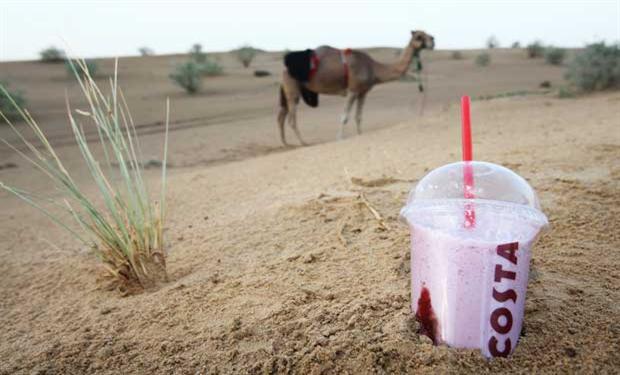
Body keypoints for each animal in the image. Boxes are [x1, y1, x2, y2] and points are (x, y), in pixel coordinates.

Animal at [278, 30, 434, 145]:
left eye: (426, 33)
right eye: (419, 36)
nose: (433, 40)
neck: (373, 68)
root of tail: (284, 68)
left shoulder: (363, 92)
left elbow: (358, 116)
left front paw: (360, 134)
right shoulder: (353, 90)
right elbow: (344, 116)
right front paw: (339, 138)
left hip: (289, 90)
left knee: (281, 116)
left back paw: (286, 144)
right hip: (292, 87)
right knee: (291, 119)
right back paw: (303, 143)